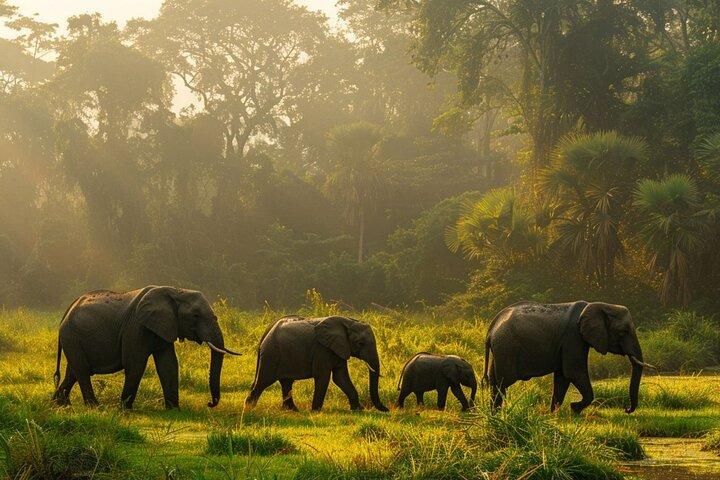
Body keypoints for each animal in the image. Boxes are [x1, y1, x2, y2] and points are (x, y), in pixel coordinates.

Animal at [52, 285, 240, 409]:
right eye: (195, 315)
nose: (210, 403)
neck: (176, 291)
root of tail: (65, 313)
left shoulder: (164, 327)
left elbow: (168, 365)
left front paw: (173, 410)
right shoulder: (136, 327)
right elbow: (136, 364)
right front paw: (124, 409)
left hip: (73, 338)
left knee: (73, 371)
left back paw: (60, 405)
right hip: (71, 336)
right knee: (82, 370)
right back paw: (94, 407)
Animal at [245, 315, 389, 412]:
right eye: (360, 343)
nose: (387, 409)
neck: (348, 322)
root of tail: (265, 336)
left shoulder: (339, 349)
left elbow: (341, 378)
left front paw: (357, 410)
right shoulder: (322, 349)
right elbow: (323, 377)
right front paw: (316, 411)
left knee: (286, 382)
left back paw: (293, 410)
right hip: (271, 354)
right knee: (263, 381)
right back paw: (249, 409)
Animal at [483, 301, 654, 414]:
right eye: (623, 332)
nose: (626, 409)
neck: (597, 305)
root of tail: (491, 329)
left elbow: (562, 377)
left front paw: (554, 415)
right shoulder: (573, 338)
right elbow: (573, 372)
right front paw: (574, 408)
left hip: (500, 351)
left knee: (494, 382)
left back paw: (494, 415)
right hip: (506, 349)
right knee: (502, 383)